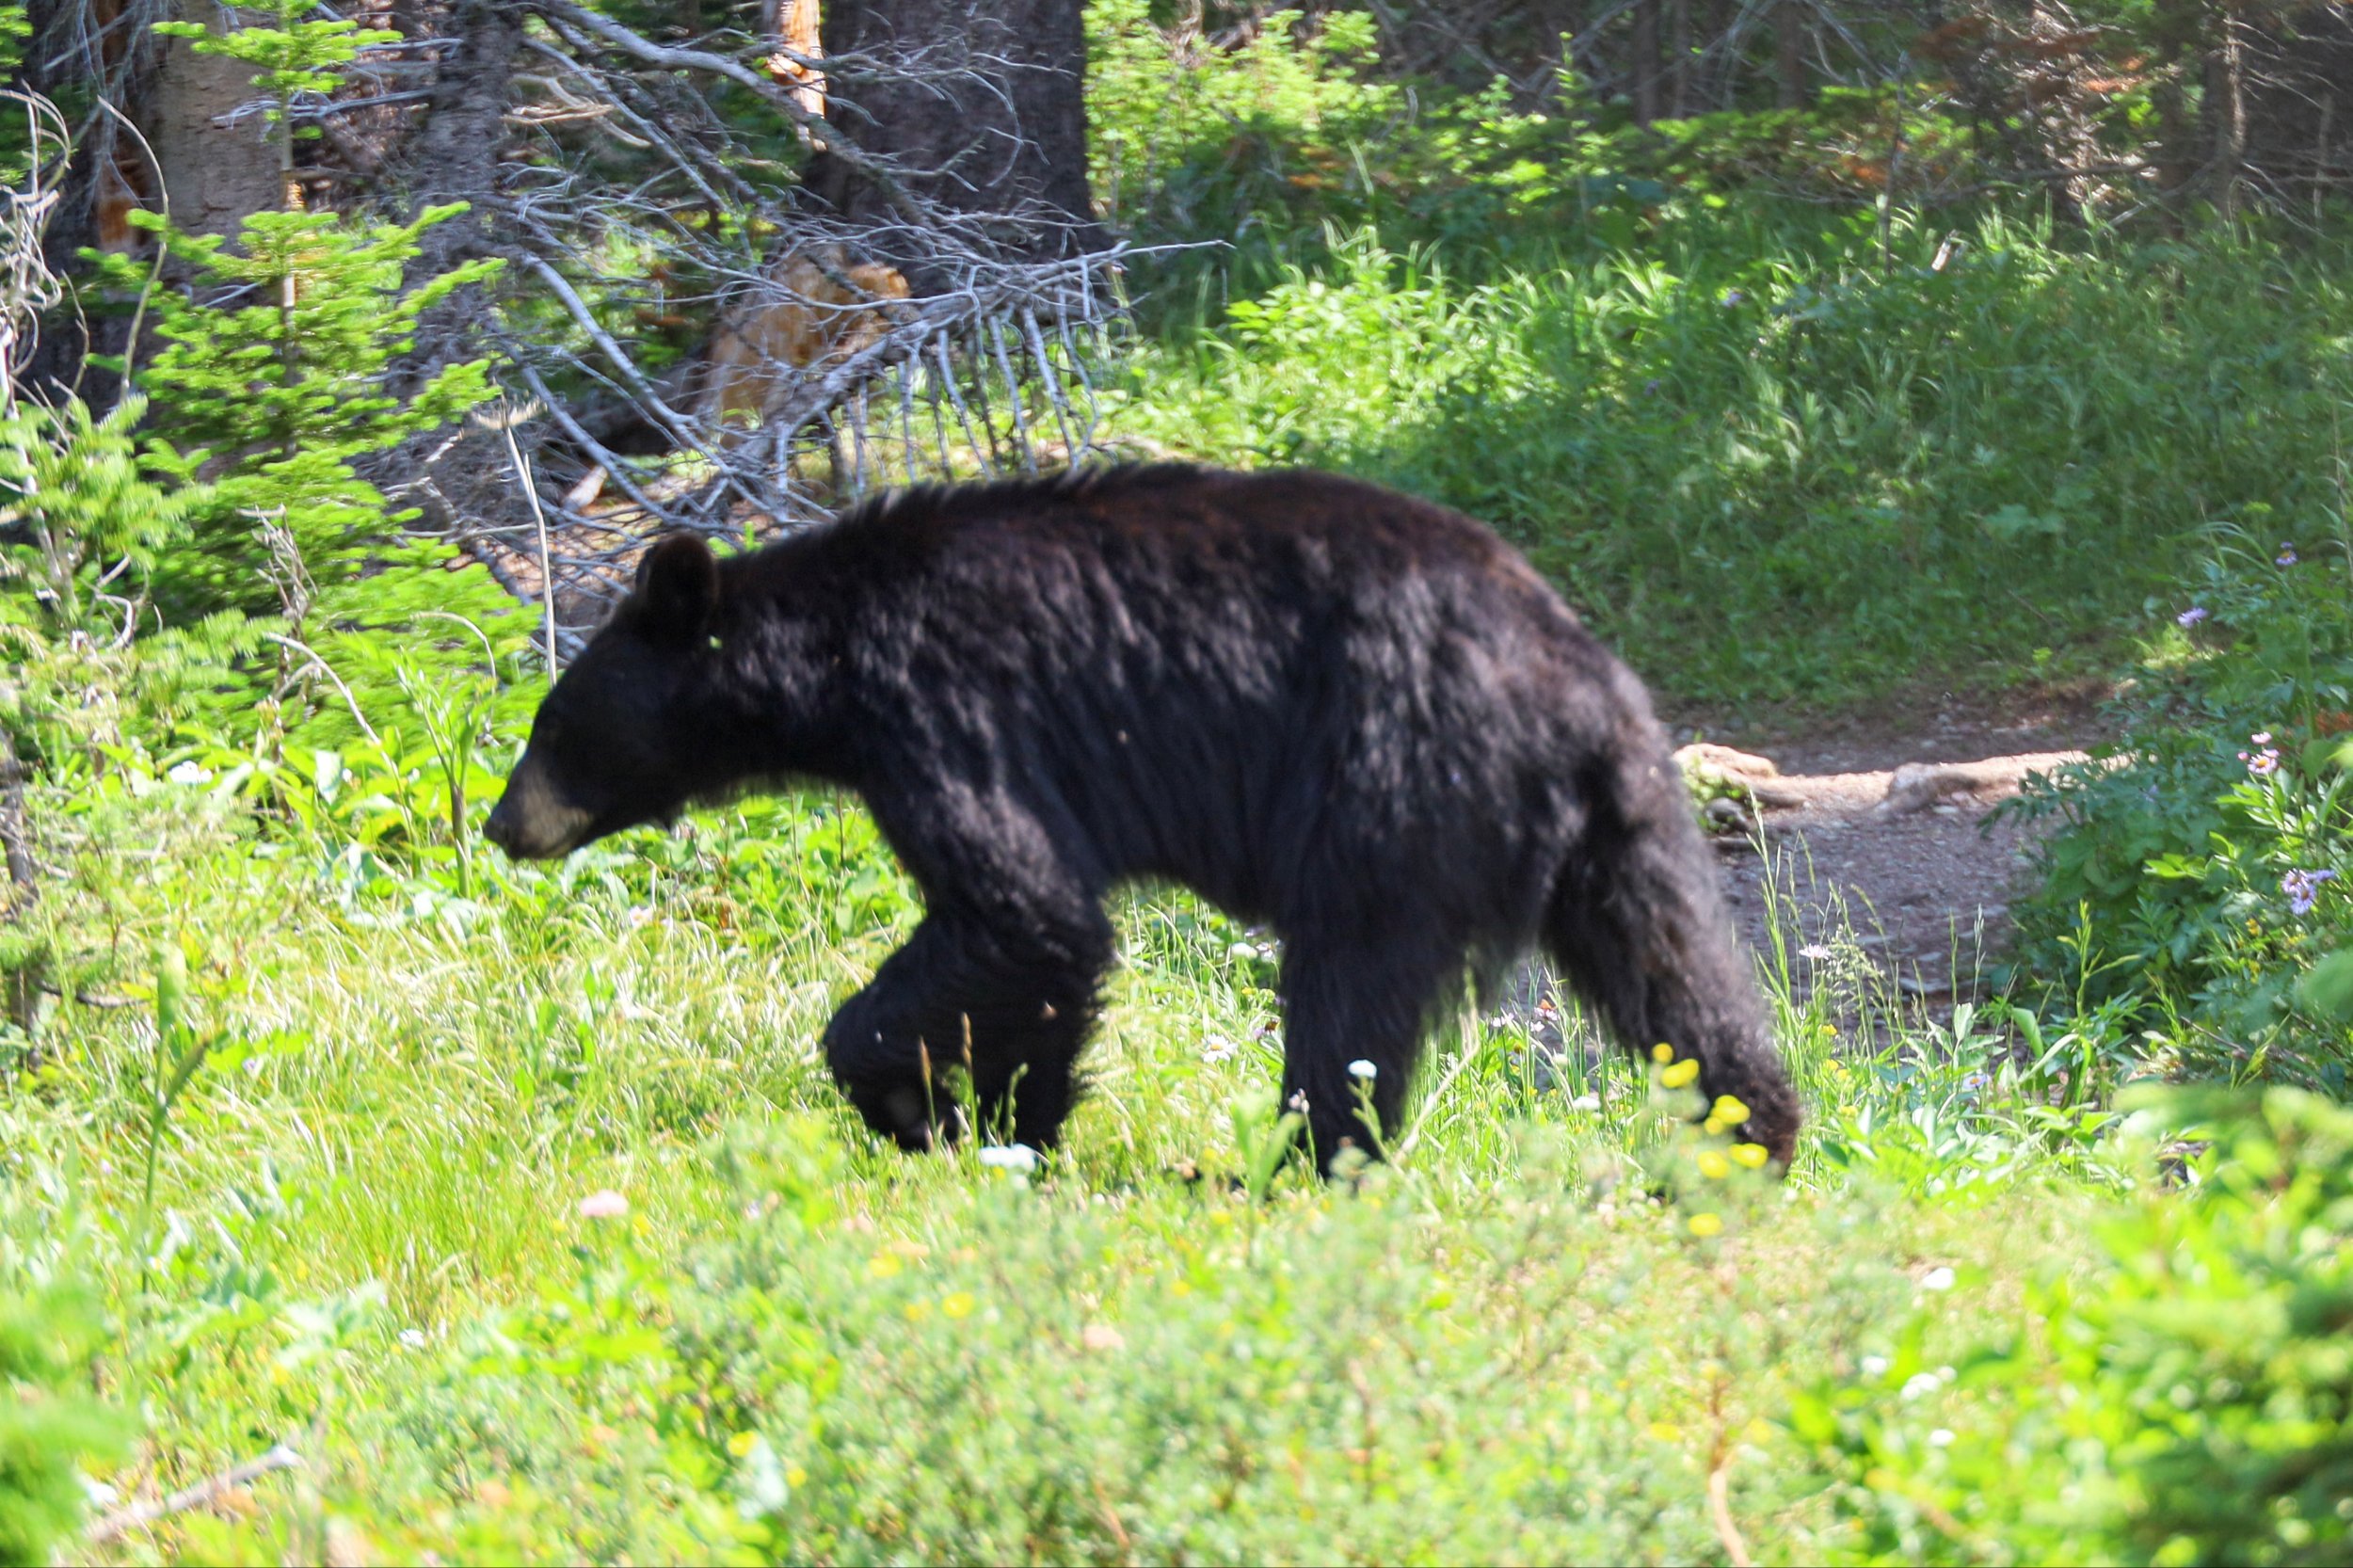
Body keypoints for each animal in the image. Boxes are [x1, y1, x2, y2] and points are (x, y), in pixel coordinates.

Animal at [477, 471, 1798, 1167]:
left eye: (552, 723)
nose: (498, 826)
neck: (835, 654)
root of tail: (1575, 686)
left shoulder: (947, 714)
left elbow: (1022, 910)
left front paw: (914, 1103)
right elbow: (1033, 956)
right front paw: (1007, 1124)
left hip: (1394, 793)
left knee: (1346, 1004)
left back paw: (1302, 1167)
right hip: (1621, 832)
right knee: (1677, 979)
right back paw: (1750, 1141)